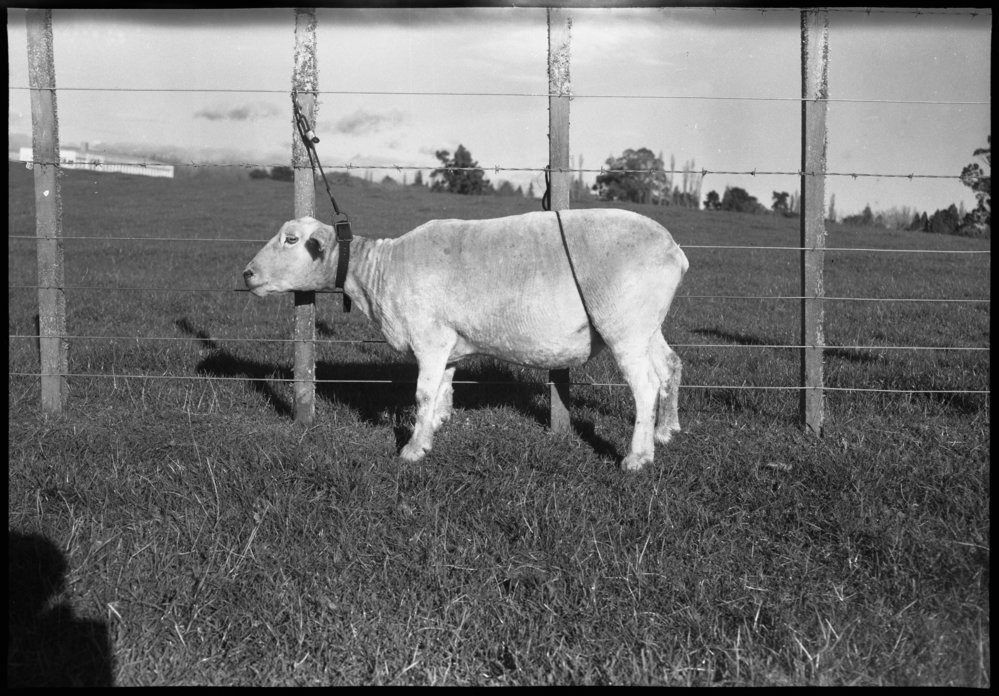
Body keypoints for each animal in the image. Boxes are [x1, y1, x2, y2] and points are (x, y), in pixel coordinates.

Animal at [243, 208, 688, 471]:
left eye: (291, 240)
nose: (247, 274)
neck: (380, 270)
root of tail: (674, 249)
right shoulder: (448, 342)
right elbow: (443, 387)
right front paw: (436, 426)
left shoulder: (428, 338)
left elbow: (423, 393)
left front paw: (413, 449)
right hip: (647, 326)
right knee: (670, 365)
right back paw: (666, 431)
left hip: (624, 326)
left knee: (645, 386)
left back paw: (638, 456)